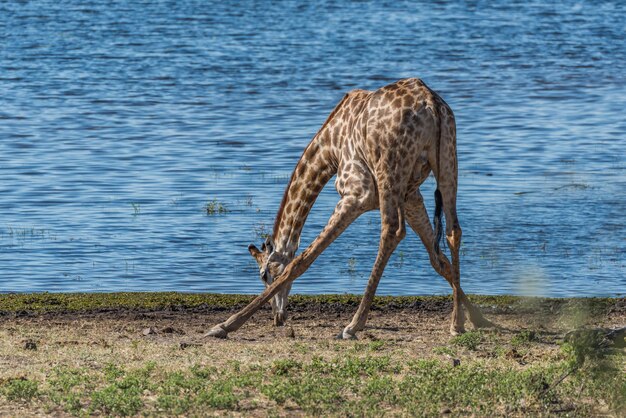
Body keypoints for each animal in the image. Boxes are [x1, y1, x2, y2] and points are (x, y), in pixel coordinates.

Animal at [207, 77, 490, 340]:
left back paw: (354, 325)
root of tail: (431, 104)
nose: (279, 318)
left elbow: (302, 259)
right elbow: (438, 260)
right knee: (453, 231)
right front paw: (477, 319)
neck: (330, 148)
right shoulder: (411, 196)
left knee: (392, 231)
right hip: (447, 162)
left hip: (389, 171)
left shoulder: (356, 194)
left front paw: (225, 325)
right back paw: (455, 324)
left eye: (264, 274)